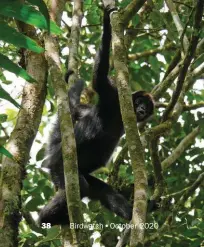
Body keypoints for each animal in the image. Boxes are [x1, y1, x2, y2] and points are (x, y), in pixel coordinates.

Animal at [39, 6, 154, 226]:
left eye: (147, 107)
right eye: (139, 103)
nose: (143, 110)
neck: (120, 115)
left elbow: (78, 108)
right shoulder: (113, 96)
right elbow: (98, 78)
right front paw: (107, 22)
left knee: (101, 190)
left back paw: (133, 214)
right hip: (60, 164)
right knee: (79, 185)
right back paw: (44, 217)